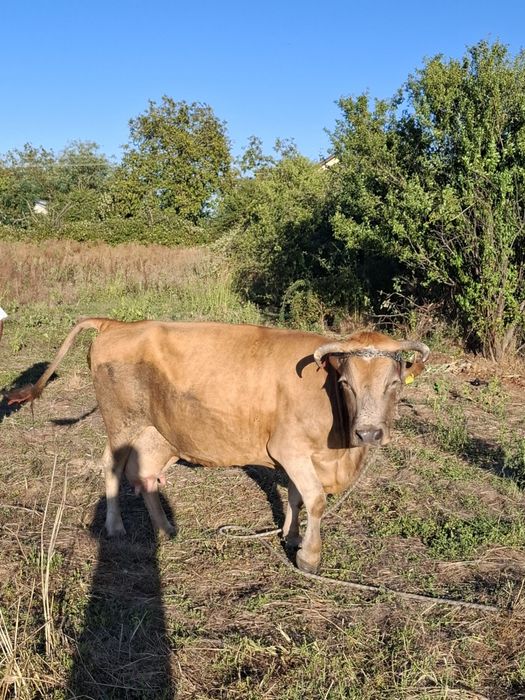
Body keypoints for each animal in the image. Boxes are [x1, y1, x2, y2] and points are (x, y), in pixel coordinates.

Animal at [8, 318, 429, 573]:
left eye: (394, 383)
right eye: (346, 383)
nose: (369, 433)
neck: (342, 450)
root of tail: (118, 324)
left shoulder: (295, 456)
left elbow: (294, 497)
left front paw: (291, 537)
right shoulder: (291, 450)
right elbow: (314, 500)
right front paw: (309, 557)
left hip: (156, 433)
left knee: (145, 476)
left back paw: (166, 529)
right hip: (121, 423)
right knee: (111, 467)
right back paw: (115, 527)